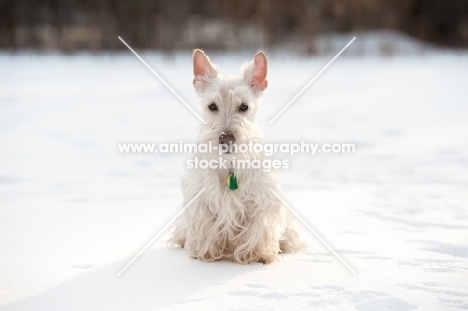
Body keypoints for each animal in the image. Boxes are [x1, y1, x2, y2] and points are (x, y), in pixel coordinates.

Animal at [169, 50, 304, 264]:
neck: (230, 164)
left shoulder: (262, 200)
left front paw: (257, 254)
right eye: (212, 106)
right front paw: (205, 253)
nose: (226, 139)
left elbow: (257, 230)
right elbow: (204, 227)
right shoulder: (200, 200)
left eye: (243, 107)